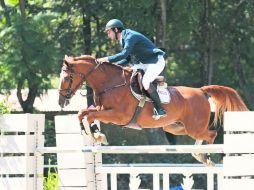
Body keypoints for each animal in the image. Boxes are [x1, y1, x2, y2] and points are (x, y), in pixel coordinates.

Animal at [58, 54, 249, 165]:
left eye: (66, 77)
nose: (61, 101)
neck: (110, 83)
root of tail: (201, 91)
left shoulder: (118, 115)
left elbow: (90, 116)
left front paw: (98, 136)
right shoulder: (100, 109)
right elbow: (83, 114)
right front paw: (94, 134)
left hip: (194, 127)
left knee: (211, 134)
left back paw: (205, 157)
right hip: (176, 127)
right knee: (201, 135)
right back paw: (198, 155)